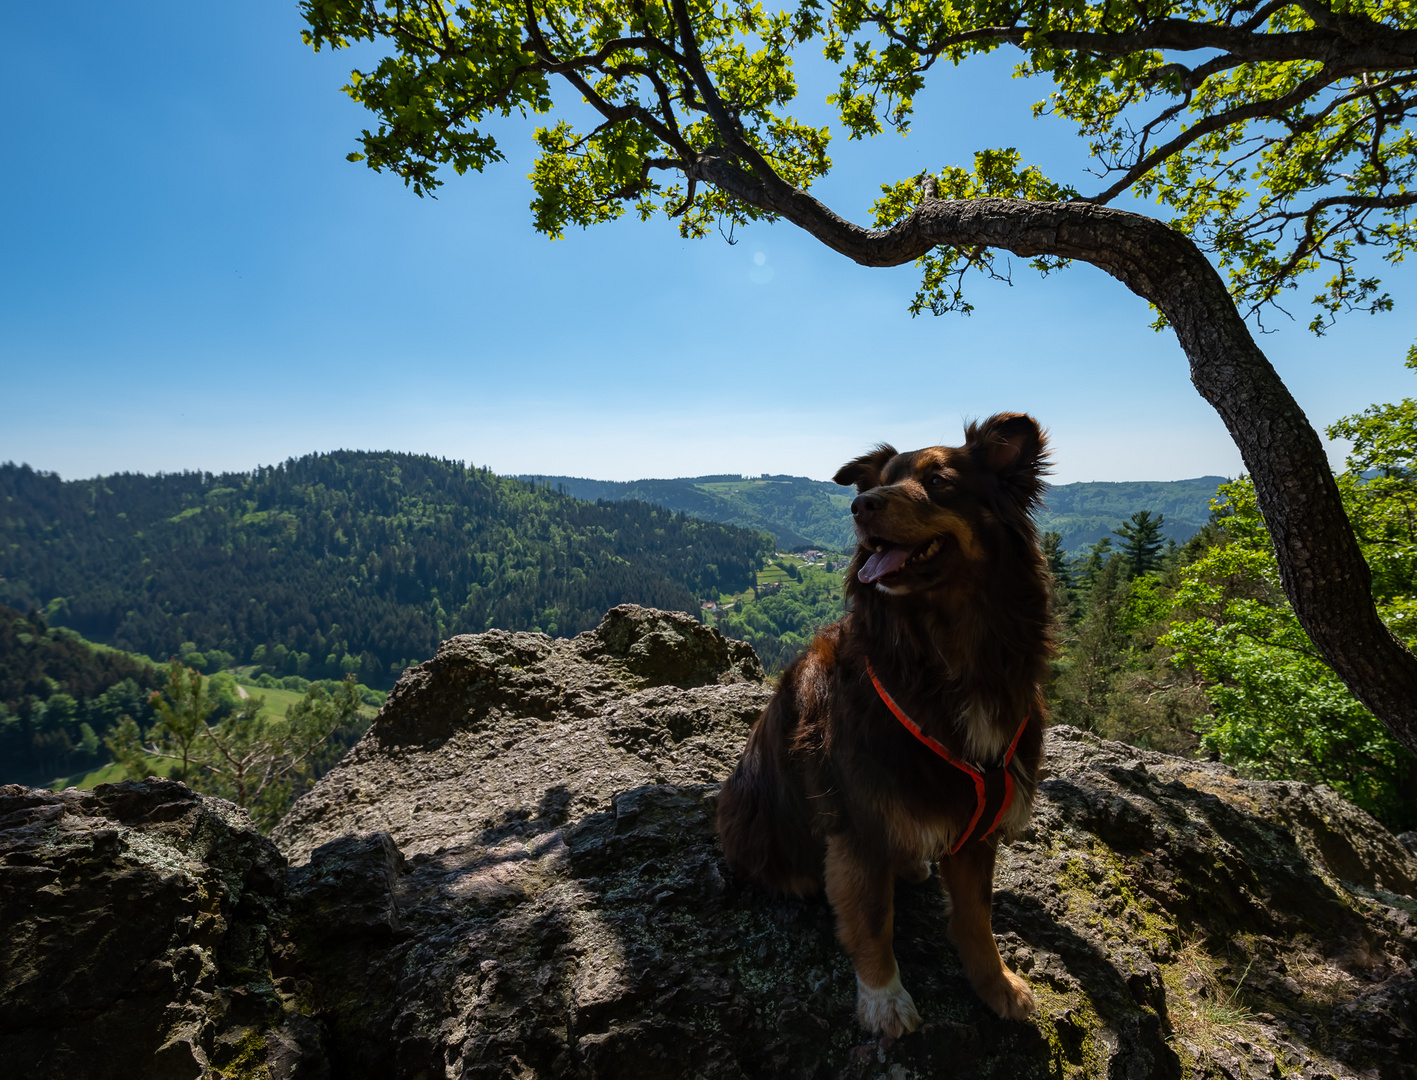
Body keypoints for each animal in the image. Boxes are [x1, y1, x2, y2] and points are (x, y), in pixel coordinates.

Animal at [719, 411, 1054, 1037]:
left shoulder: (979, 821)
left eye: (940, 483)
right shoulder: (860, 821)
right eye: (880, 482)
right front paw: (883, 998)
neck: (944, 656)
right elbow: (872, 920)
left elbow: (977, 916)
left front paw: (995, 984)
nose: (861, 505)